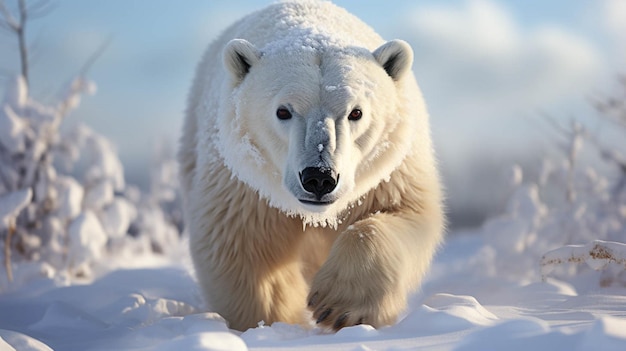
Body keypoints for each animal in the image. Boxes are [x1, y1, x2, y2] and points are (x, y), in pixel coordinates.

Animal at [178, 0, 444, 332]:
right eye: (283, 111)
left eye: (356, 112)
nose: (319, 178)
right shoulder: (245, 188)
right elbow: (244, 248)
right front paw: (270, 321)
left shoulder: (389, 173)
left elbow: (406, 214)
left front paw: (337, 304)